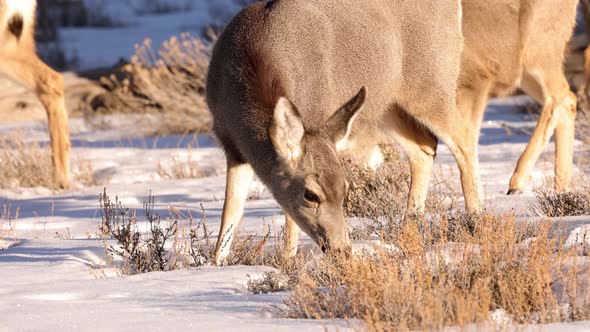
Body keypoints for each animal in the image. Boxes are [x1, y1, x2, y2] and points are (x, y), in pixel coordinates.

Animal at [208, 0, 476, 264]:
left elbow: (286, 214)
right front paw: (217, 262)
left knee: (463, 136)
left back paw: (476, 222)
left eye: (345, 189)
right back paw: (408, 235)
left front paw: (288, 260)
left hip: (432, 82)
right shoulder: (232, 146)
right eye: (310, 195)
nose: (342, 250)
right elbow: (230, 210)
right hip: (387, 103)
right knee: (424, 146)